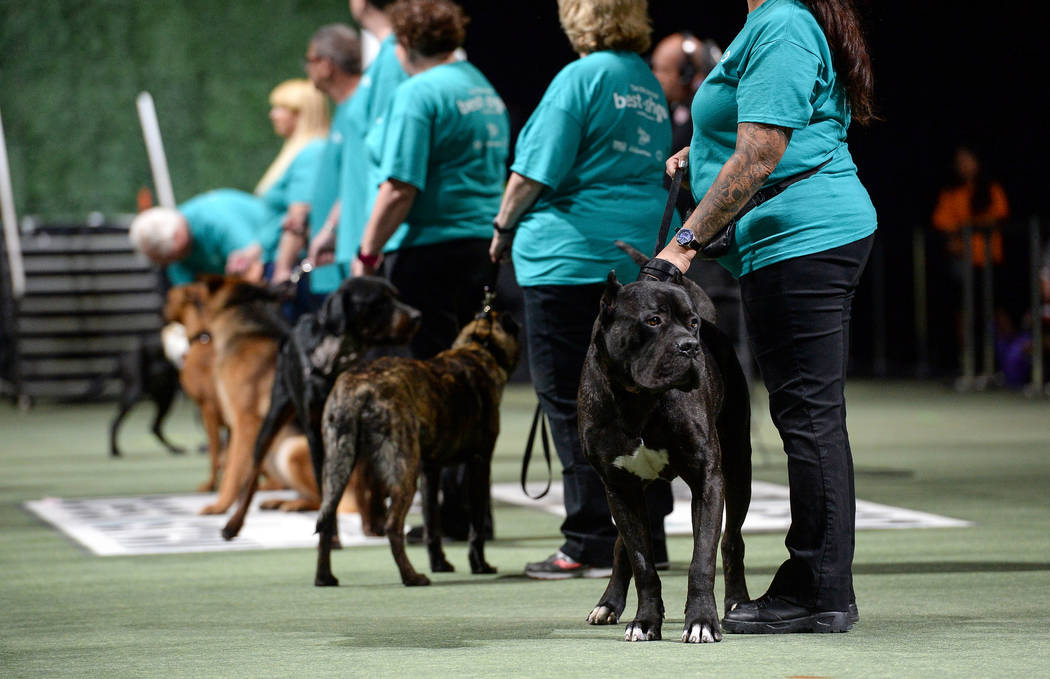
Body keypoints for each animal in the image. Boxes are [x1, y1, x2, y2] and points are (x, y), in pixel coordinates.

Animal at [312, 310, 522, 587]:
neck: (477, 348)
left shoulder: (430, 470)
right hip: (403, 470)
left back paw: (324, 577)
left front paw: (439, 564)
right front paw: (480, 566)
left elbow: (432, 524)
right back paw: (410, 576)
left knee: (326, 520)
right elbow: (475, 527)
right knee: (392, 525)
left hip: (337, 464)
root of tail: (359, 389)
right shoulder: (479, 464)